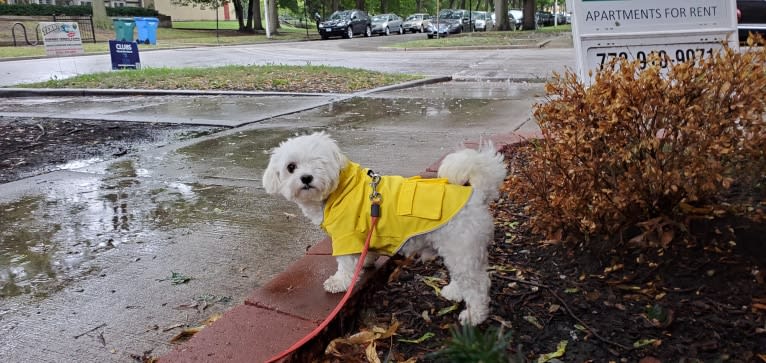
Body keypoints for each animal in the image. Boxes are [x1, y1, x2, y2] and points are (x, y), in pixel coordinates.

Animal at [260, 132, 508, 326]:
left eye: (318, 163)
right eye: (291, 167)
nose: (306, 178)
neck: (339, 189)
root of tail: (476, 193)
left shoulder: (345, 235)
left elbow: (345, 265)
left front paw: (338, 282)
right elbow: (365, 252)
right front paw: (366, 262)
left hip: (461, 247)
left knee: (478, 284)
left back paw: (474, 316)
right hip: (460, 250)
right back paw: (455, 292)